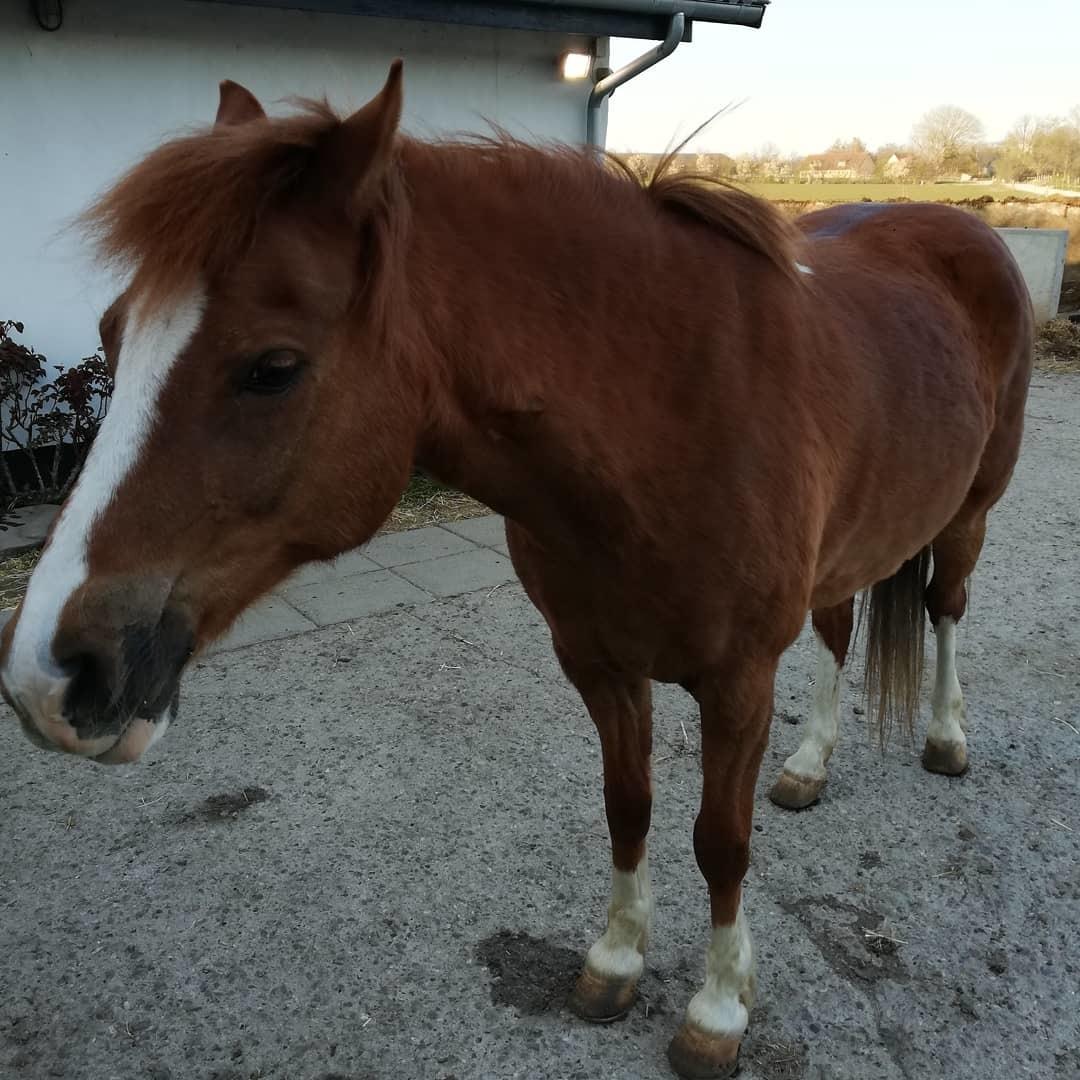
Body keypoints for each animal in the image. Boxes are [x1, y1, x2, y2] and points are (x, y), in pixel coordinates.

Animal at [0, 65, 1033, 1079]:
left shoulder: (738, 682)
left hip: (971, 513)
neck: (675, 412)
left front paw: (717, 1010)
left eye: (273, 367)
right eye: (113, 334)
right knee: (838, 625)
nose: (48, 677)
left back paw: (946, 737)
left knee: (945, 607)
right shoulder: (597, 664)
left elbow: (722, 843)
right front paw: (614, 962)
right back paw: (811, 763)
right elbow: (628, 807)